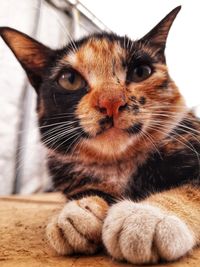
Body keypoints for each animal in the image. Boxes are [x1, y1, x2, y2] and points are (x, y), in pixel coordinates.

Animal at [0, 6, 199, 266]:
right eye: (69, 79)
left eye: (141, 72)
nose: (111, 101)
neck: (119, 164)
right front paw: (78, 212)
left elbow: (191, 188)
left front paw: (146, 217)